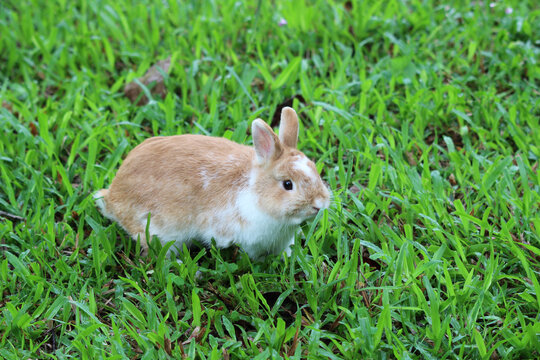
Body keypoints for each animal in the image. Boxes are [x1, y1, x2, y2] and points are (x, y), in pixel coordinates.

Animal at [94, 105, 330, 260]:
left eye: (314, 169)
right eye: (288, 184)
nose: (319, 204)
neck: (255, 193)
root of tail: (113, 198)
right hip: (162, 234)